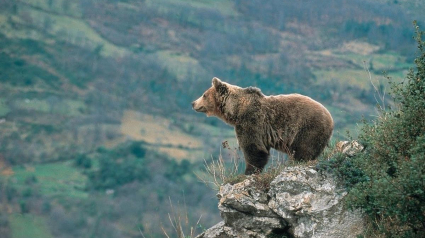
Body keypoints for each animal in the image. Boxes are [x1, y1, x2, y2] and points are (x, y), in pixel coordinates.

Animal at [192, 77, 334, 175]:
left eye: (204, 94)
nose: (193, 103)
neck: (236, 110)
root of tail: (330, 118)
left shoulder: (251, 122)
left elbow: (254, 148)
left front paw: (248, 172)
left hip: (308, 128)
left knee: (304, 150)